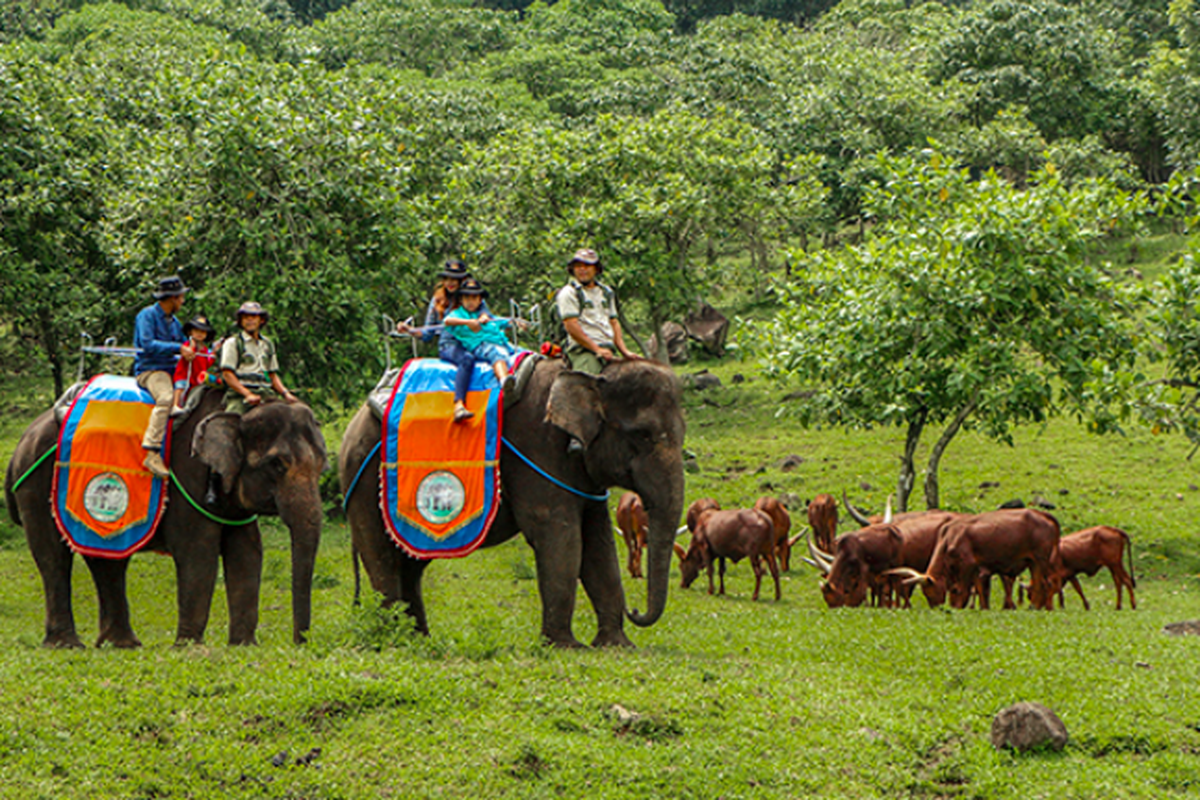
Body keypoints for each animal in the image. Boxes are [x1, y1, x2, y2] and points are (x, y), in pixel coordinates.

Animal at [3, 388, 328, 652]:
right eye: (277, 464)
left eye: (322, 464)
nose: (300, 642)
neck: (236, 412)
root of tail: (20, 443)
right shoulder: (188, 476)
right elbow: (198, 553)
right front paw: (189, 647)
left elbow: (247, 553)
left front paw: (244, 646)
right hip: (34, 483)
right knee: (53, 557)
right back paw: (67, 646)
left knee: (107, 558)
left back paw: (122, 645)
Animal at [343, 359, 691, 647]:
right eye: (643, 435)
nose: (636, 610)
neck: (589, 375)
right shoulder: (538, 449)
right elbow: (559, 534)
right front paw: (566, 647)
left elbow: (598, 541)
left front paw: (615, 646)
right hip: (363, 484)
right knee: (383, 558)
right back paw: (394, 640)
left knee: (410, 565)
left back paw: (418, 639)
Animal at [888, 510, 1065, 609]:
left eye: (929, 592)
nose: (935, 607)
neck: (950, 537)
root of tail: (1043, 515)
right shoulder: (978, 570)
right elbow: (980, 590)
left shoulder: (968, 566)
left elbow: (963, 590)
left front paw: (959, 607)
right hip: (1036, 562)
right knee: (1042, 585)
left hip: (1041, 560)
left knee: (1046, 584)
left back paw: (1040, 607)